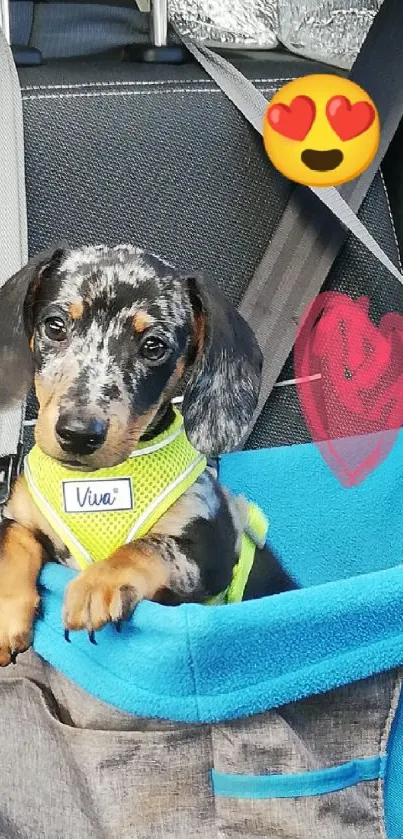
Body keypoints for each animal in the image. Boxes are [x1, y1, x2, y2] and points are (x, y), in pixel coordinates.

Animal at [0, 246, 294, 668]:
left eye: (154, 347)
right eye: (55, 326)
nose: (78, 434)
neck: (96, 482)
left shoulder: (212, 551)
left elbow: (146, 546)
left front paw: (98, 582)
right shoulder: (21, 516)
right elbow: (11, 543)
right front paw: (6, 613)